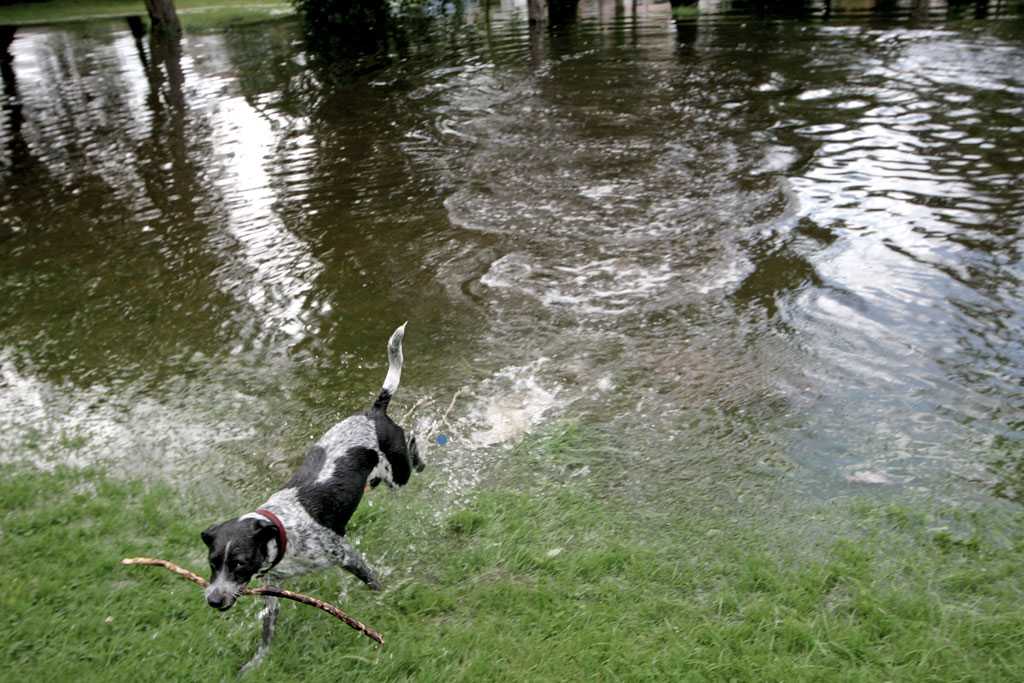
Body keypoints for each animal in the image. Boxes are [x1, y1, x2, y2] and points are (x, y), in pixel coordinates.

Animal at [199, 325, 423, 671]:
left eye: (239, 563)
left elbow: (371, 581)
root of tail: (373, 410)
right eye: (212, 563)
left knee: (412, 445)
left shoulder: (344, 554)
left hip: (398, 475)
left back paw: (418, 450)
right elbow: (267, 632)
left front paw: (381, 599)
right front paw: (258, 662)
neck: (284, 532)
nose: (213, 600)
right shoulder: (273, 589)